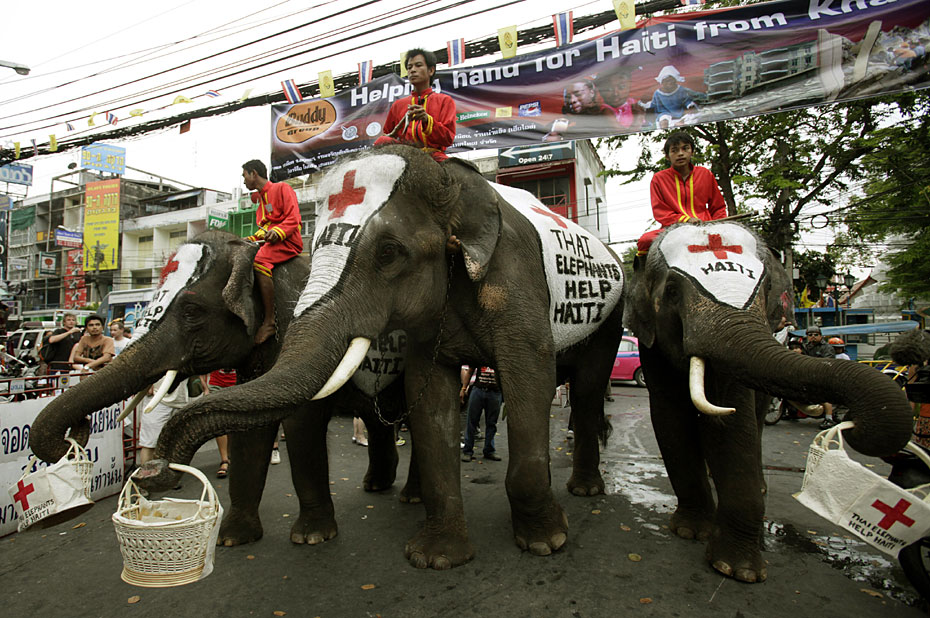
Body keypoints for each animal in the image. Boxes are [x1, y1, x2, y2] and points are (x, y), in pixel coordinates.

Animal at [28, 230, 411, 546]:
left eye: (191, 310)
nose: (148, 470)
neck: (253, 256)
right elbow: (247, 434)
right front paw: (232, 539)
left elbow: (302, 425)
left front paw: (311, 538)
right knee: (377, 419)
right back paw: (377, 485)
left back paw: (408, 497)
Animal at [137, 144, 625, 570]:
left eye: (389, 253)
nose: (149, 473)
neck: (452, 181)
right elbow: (429, 400)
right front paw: (435, 558)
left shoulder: (516, 279)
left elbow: (529, 378)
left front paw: (544, 543)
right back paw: (388, 489)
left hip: (612, 321)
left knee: (586, 390)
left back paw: (584, 490)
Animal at [625, 220, 913, 583]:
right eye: (673, 292)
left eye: (765, 292)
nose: (856, 423)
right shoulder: (651, 344)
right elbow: (670, 417)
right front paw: (692, 533)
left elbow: (733, 421)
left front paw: (739, 571)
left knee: (758, 419)